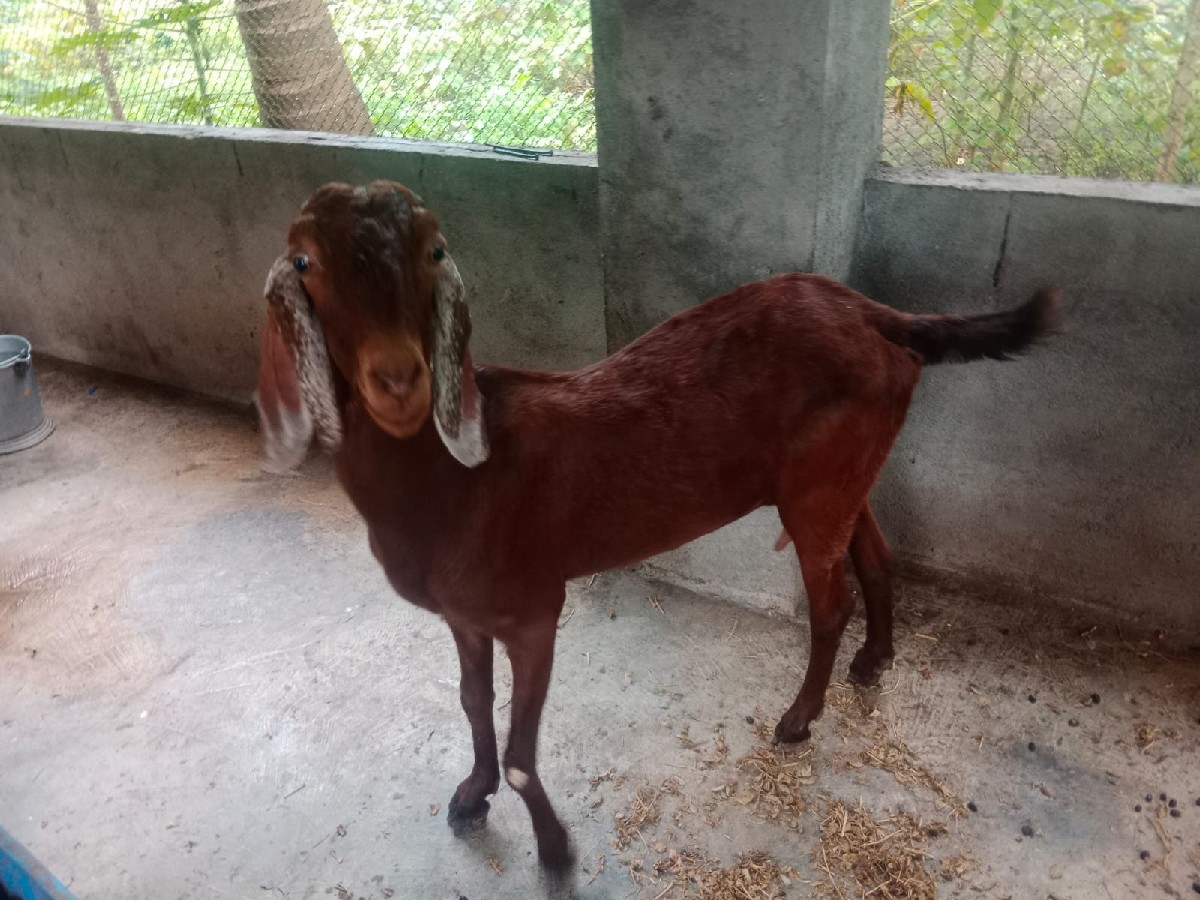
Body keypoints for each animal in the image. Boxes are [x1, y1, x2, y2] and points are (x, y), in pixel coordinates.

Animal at [255, 179, 1060, 875]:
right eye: (305, 262)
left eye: (434, 251)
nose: (399, 381)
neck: (456, 480)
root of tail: (878, 316)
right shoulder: (464, 616)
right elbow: (473, 706)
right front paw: (469, 797)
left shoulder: (532, 610)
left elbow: (521, 755)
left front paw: (555, 852)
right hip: (840, 473)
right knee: (875, 554)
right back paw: (874, 662)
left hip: (819, 483)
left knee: (831, 601)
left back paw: (798, 719)